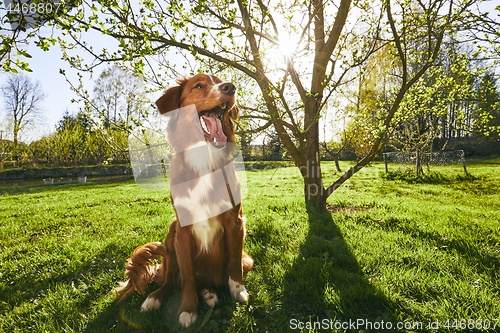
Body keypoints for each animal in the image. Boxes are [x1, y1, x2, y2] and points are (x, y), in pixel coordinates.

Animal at [115, 73, 252, 326]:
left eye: (220, 80)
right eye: (199, 85)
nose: (230, 87)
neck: (204, 156)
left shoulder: (236, 221)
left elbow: (234, 265)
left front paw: (238, 291)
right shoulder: (183, 229)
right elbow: (187, 276)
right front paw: (188, 309)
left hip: (245, 259)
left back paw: (209, 293)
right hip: (172, 235)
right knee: (171, 280)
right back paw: (156, 297)